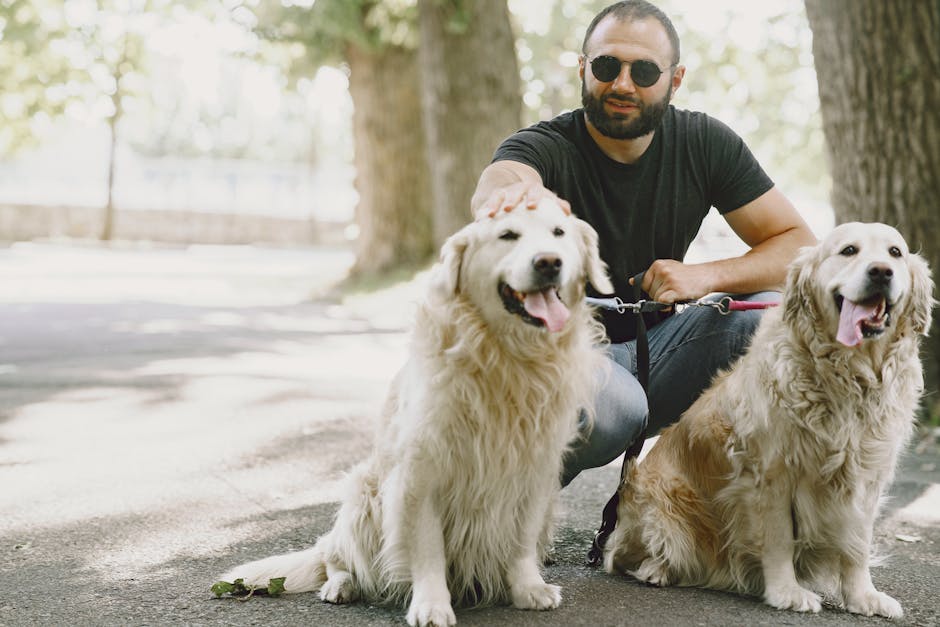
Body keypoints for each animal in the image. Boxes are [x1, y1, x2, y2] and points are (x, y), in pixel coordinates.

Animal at [222, 201, 616, 627]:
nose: (549, 262)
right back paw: (341, 585)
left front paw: (528, 588)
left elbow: (522, 539)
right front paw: (431, 604)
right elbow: (428, 550)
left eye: (559, 232)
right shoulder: (421, 474)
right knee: (333, 554)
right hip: (363, 495)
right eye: (507, 235)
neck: (506, 357)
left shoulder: (535, 469)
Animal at [604, 221, 932, 620]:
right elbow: (778, 538)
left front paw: (863, 596)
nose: (882, 272)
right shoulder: (770, 472)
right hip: (663, 499)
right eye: (849, 250)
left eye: (895, 253)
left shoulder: (866, 477)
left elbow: (857, 544)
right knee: (627, 554)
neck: (848, 373)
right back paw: (656, 568)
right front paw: (786, 592)